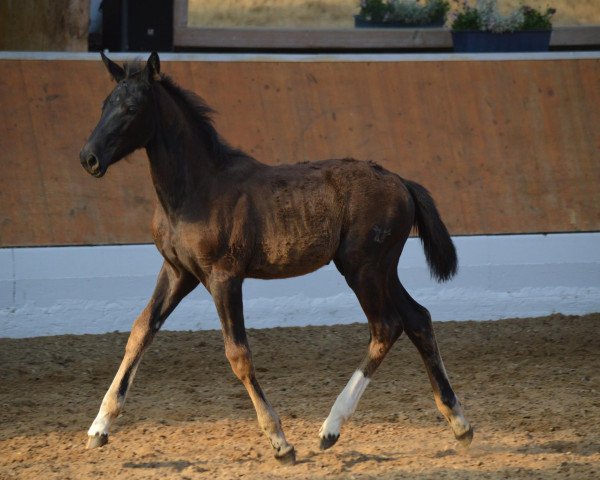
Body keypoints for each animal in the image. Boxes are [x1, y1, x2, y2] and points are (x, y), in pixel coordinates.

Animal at [81, 51, 474, 462]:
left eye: (132, 108)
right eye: (105, 103)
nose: (89, 158)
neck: (196, 190)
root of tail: (401, 182)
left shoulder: (224, 277)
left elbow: (238, 354)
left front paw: (280, 442)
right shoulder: (177, 271)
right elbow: (141, 331)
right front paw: (98, 428)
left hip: (363, 268)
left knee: (386, 326)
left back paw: (330, 428)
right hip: (382, 269)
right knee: (418, 318)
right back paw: (459, 423)